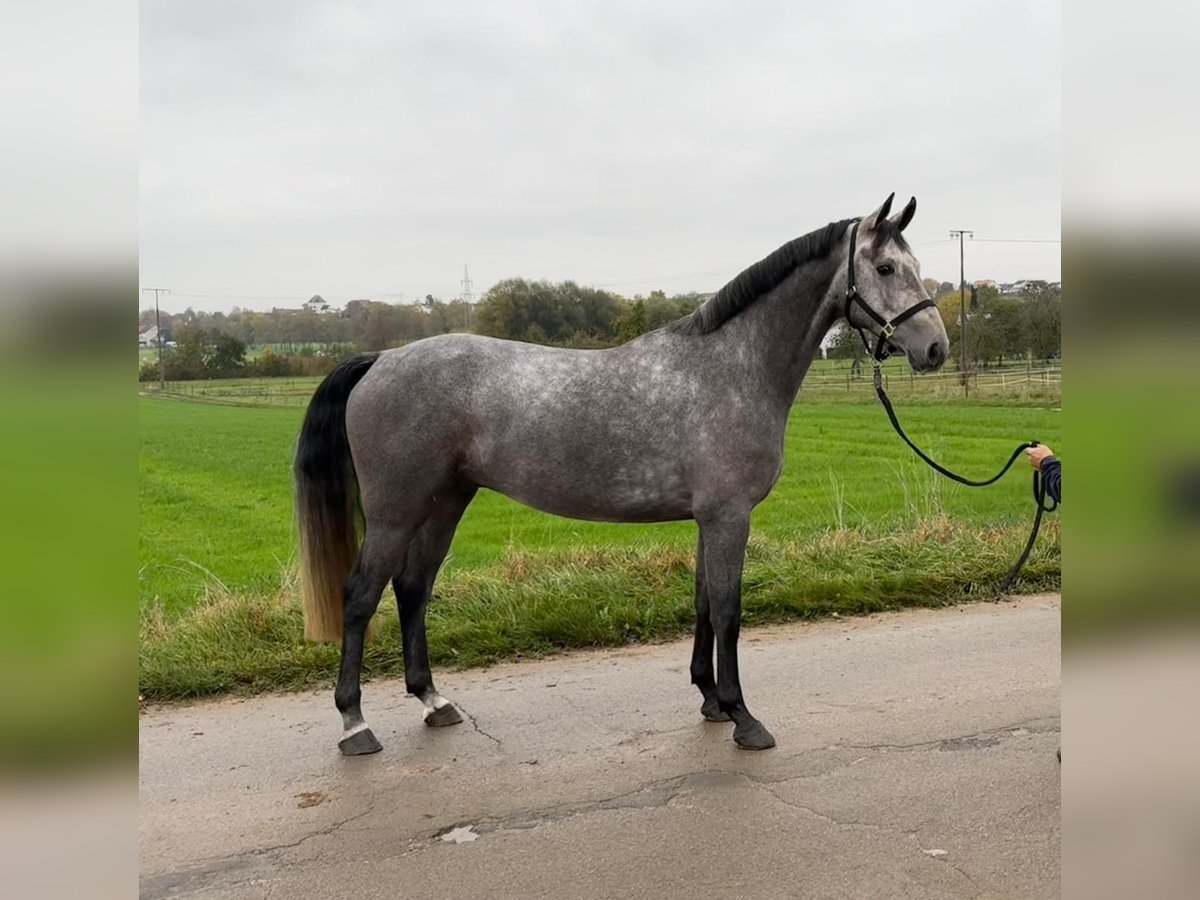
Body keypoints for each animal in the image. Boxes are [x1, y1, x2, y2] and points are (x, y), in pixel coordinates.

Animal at [292, 194, 945, 758]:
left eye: (916, 266)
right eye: (886, 267)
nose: (935, 349)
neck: (731, 366)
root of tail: (381, 359)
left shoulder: (709, 518)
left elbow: (702, 602)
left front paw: (711, 700)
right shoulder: (729, 515)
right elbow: (729, 611)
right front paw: (743, 716)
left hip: (445, 502)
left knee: (412, 588)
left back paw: (433, 700)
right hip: (395, 511)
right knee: (361, 595)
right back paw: (355, 724)